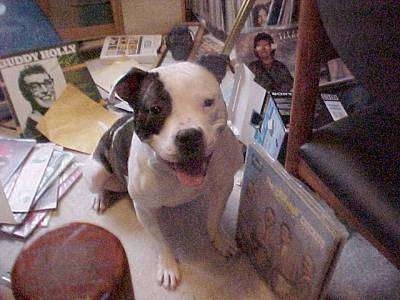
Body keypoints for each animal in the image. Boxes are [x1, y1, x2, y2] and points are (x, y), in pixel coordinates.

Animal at [83, 55, 244, 290]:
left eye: (208, 102)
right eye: (155, 109)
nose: (189, 136)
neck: (174, 174)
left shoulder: (224, 185)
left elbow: (214, 218)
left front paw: (220, 240)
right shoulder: (144, 209)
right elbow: (161, 242)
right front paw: (168, 267)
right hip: (96, 171)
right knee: (97, 184)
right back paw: (99, 198)